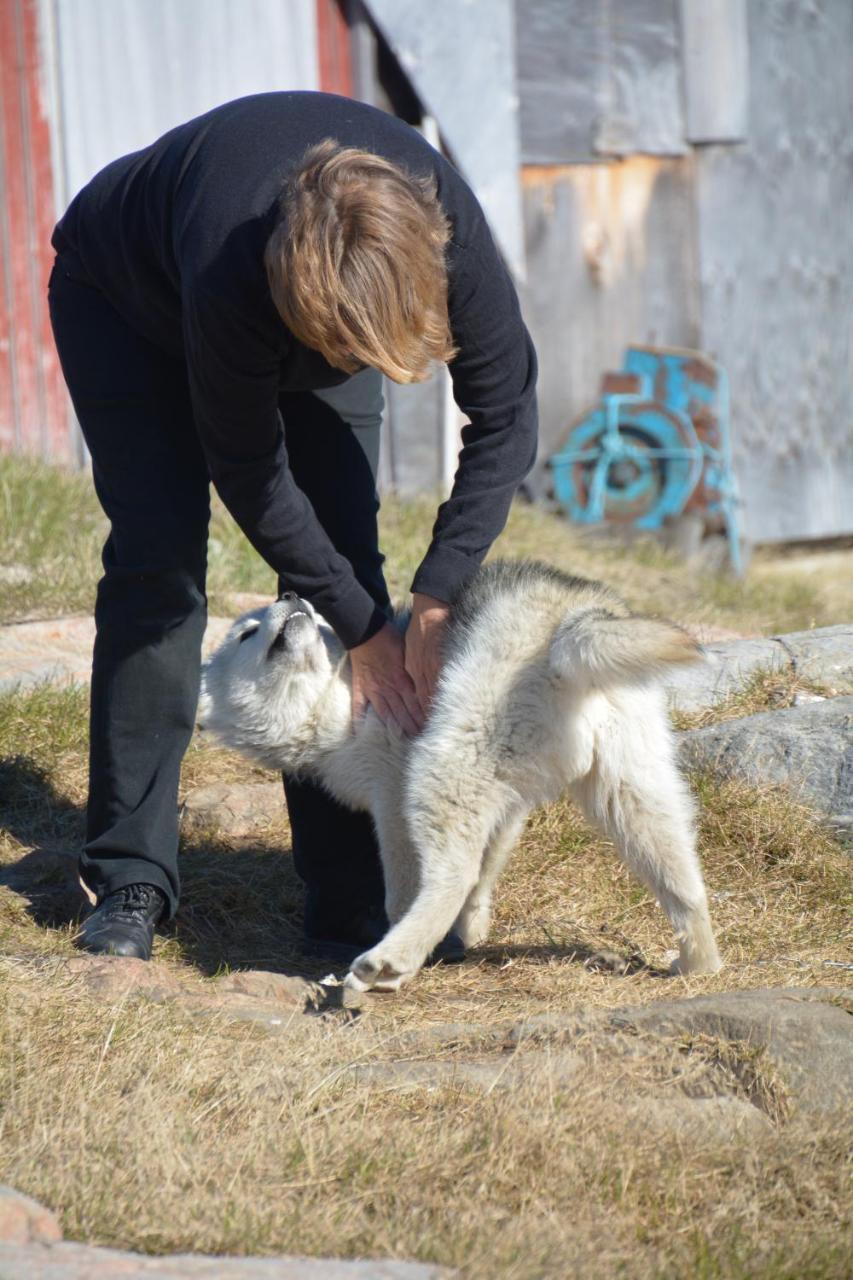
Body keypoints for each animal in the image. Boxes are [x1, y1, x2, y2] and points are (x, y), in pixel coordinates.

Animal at [204, 560, 717, 988]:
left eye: (247, 632)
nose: (293, 593)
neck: (335, 691)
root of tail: (572, 618)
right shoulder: (506, 804)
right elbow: (486, 873)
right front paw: (470, 932)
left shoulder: (394, 799)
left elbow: (410, 886)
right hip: (633, 792)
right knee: (683, 882)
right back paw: (698, 964)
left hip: (443, 771)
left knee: (452, 876)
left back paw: (389, 962)